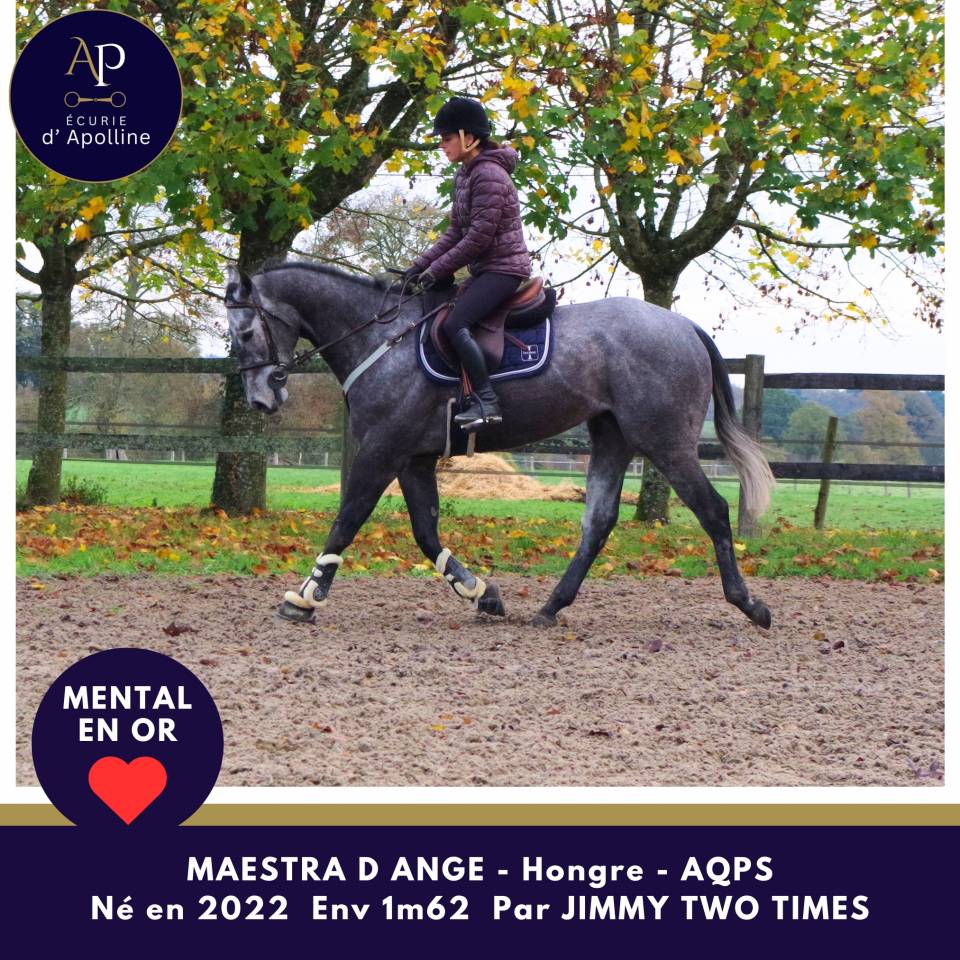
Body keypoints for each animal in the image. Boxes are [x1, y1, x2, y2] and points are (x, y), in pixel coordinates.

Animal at [224, 262, 776, 629]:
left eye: (246, 332)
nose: (260, 399)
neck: (384, 341)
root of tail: (683, 325)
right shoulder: (413, 458)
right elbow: (426, 532)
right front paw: (480, 594)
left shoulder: (382, 450)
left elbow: (347, 521)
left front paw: (305, 597)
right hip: (613, 437)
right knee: (598, 523)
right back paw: (551, 607)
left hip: (665, 443)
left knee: (713, 510)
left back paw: (749, 604)